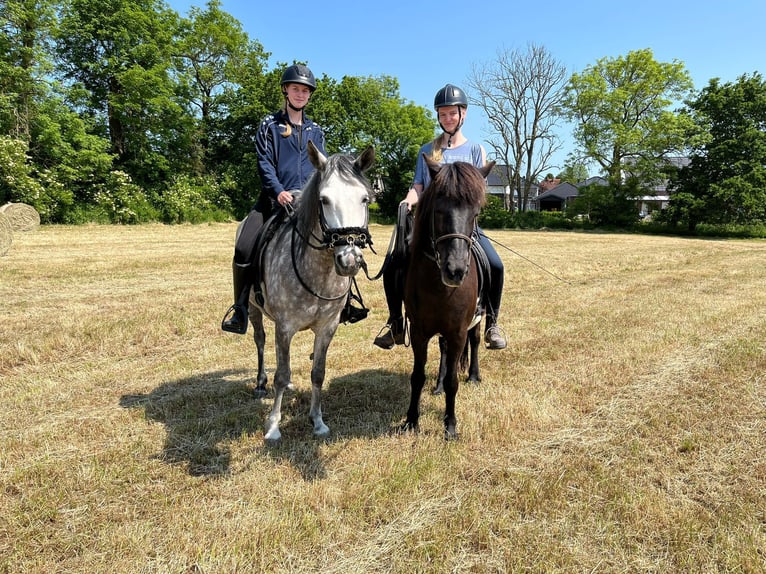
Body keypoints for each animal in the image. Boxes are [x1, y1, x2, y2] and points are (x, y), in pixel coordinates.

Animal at [238, 143, 374, 440]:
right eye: (323, 200)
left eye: (364, 199)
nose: (349, 260)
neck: (318, 272)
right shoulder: (285, 327)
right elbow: (281, 374)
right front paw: (273, 426)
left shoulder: (327, 327)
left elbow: (317, 373)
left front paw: (317, 421)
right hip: (253, 309)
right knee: (260, 341)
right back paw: (260, 383)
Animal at [402, 155, 498, 438]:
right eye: (438, 211)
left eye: (476, 214)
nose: (455, 271)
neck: (438, 288)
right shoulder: (419, 331)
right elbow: (417, 376)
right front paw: (411, 421)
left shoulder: (458, 332)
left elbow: (454, 380)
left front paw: (450, 426)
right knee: (443, 351)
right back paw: (437, 387)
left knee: (475, 341)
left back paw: (474, 376)